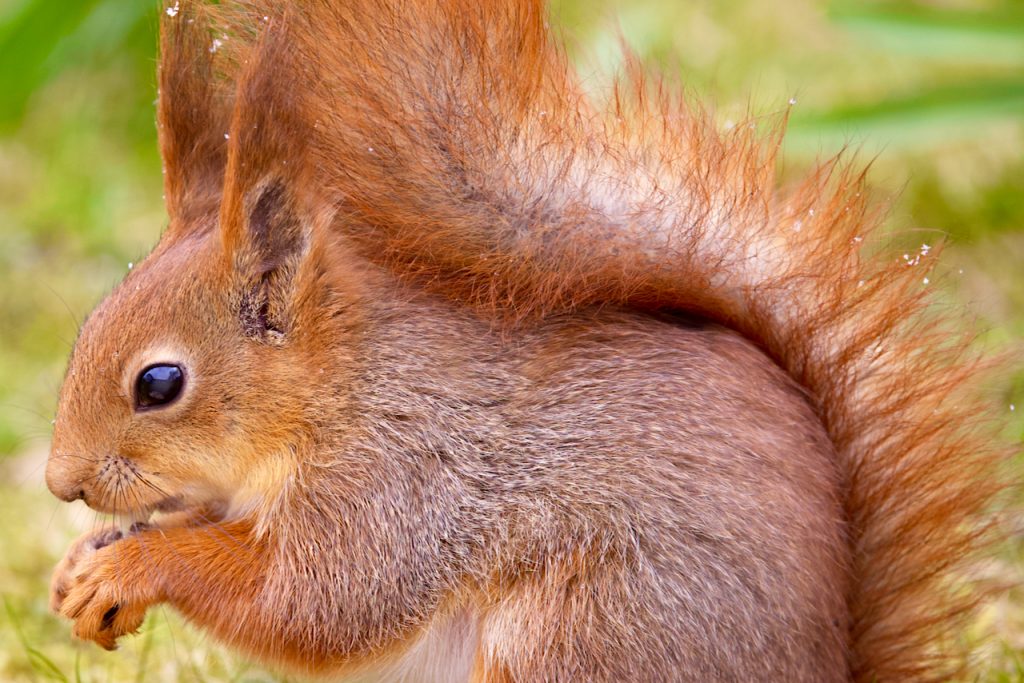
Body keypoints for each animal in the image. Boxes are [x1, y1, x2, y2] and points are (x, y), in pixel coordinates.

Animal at [46, 2, 1007, 679]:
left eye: (159, 383)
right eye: (86, 325)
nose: (61, 484)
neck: (338, 389)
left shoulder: (396, 483)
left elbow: (313, 603)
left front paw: (138, 565)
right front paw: (86, 560)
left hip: (587, 629)